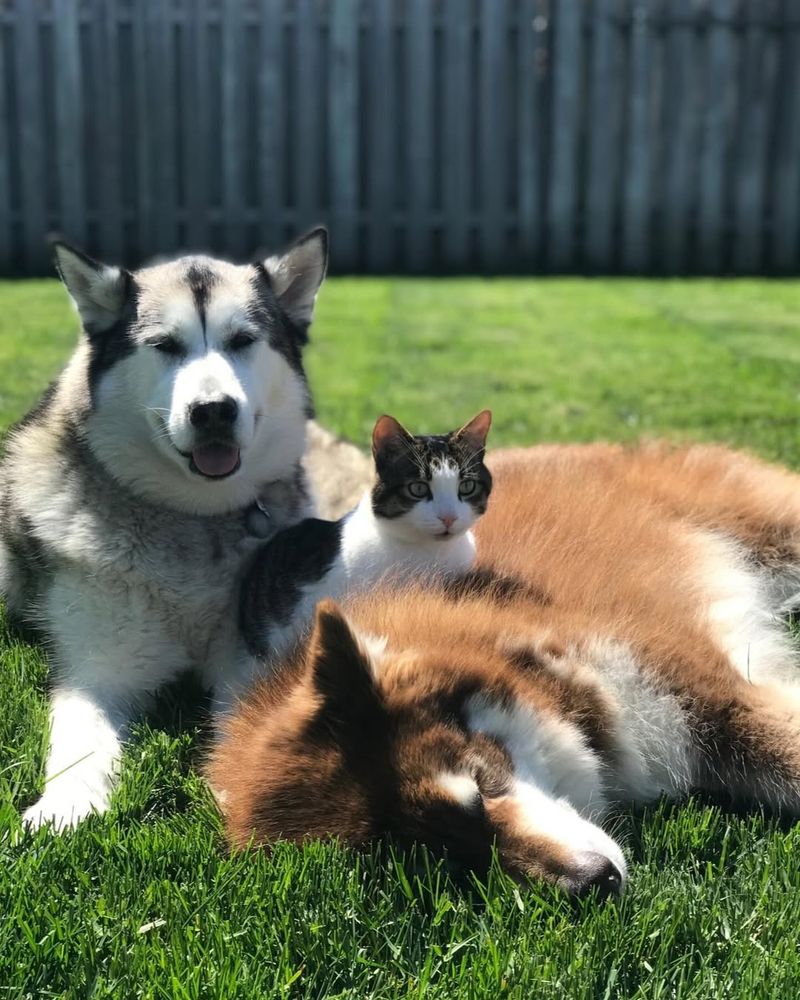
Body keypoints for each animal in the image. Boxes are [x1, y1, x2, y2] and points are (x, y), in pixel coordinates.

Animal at [0, 230, 372, 832]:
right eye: (166, 345)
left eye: (242, 341)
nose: (213, 410)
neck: (194, 522)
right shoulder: (96, 669)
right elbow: (80, 737)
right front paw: (67, 804)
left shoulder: (249, 662)